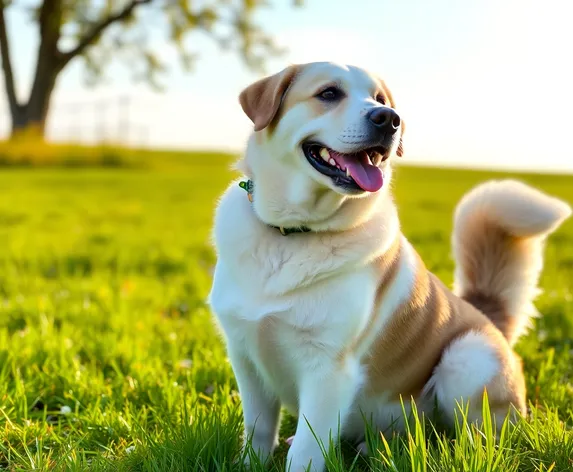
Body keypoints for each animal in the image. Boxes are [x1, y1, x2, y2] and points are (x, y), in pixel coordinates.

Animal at [208, 62, 568, 472]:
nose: (389, 119)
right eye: (329, 93)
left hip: (465, 359)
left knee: (473, 439)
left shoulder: (329, 369)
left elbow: (306, 452)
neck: (293, 234)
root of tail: (487, 318)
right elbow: (258, 430)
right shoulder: (245, 357)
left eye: (380, 99)